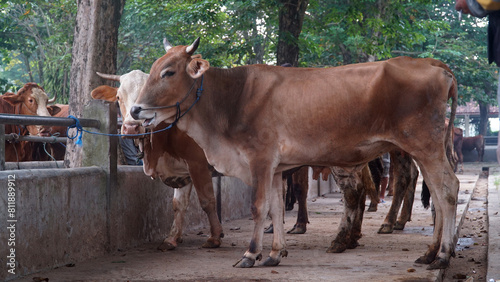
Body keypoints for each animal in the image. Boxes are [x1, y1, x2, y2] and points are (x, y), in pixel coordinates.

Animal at [90, 70, 223, 251]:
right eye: (118, 97)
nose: (131, 127)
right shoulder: (183, 171)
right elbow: (179, 204)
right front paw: (172, 238)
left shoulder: (198, 164)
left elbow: (207, 201)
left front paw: (215, 237)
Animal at [131, 38, 458, 270]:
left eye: (168, 72)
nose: (135, 110)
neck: (233, 98)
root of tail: (433, 65)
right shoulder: (276, 168)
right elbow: (276, 208)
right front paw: (275, 253)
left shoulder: (260, 160)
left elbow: (259, 207)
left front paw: (250, 254)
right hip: (422, 151)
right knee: (437, 193)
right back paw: (430, 253)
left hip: (425, 147)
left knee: (448, 190)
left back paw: (442, 255)